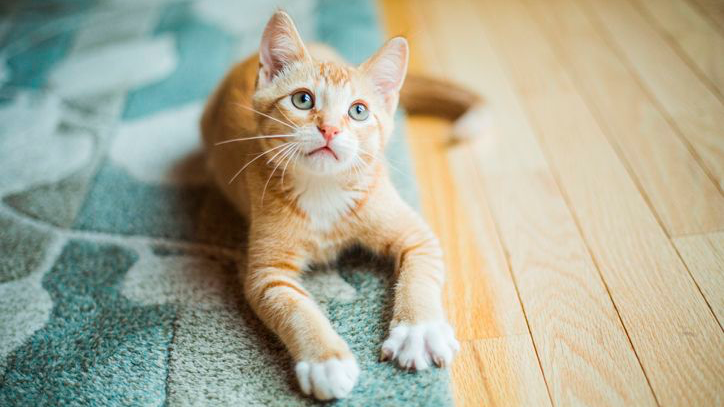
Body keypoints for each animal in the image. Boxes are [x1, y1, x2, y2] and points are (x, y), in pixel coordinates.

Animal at [202, 10, 486, 402]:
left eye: (359, 111)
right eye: (302, 100)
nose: (330, 130)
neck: (324, 188)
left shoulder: (417, 235)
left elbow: (420, 275)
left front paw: (418, 330)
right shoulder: (266, 273)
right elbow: (294, 307)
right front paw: (325, 360)